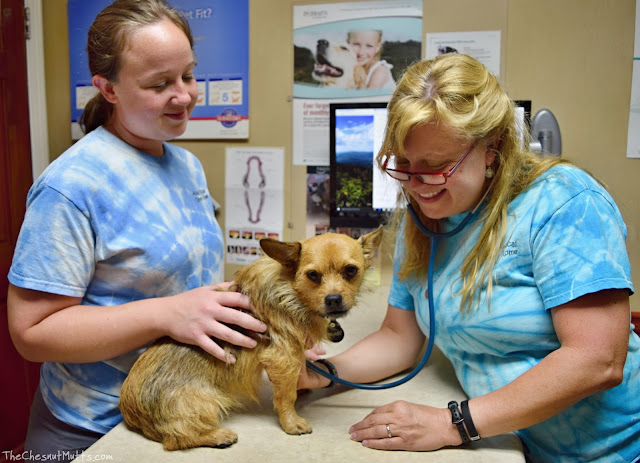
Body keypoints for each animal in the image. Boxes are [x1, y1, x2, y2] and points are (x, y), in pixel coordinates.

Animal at [119, 230, 380, 452]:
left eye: (351, 271)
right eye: (313, 275)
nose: (333, 299)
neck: (290, 290)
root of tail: (130, 412)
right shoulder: (283, 358)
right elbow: (286, 397)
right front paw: (291, 422)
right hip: (207, 401)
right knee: (175, 440)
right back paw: (217, 436)